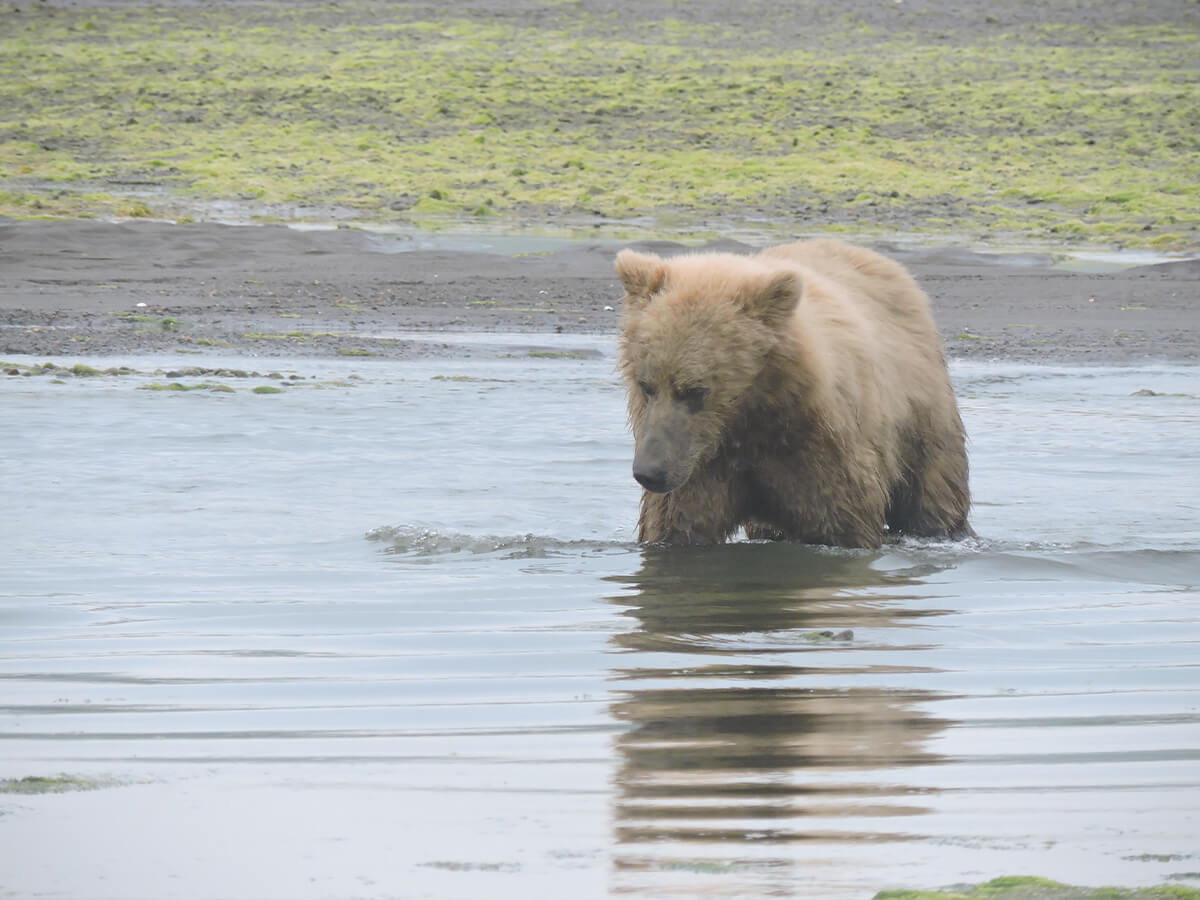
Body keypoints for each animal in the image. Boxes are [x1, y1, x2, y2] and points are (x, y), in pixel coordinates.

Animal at [614, 237, 969, 549]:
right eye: (646, 385)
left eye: (693, 391)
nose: (649, 473)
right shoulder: (700, 465)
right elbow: (675, 525)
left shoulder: (818, 448)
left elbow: (841, 523)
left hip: (921, 414)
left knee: (933, 488)